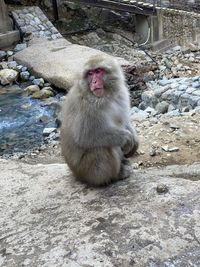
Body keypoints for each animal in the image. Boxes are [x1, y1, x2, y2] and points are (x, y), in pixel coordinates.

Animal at [60, 54, 139, 186]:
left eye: (98, 71)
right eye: (90, 73)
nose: (94, 82)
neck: (107, 96)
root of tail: (76, 174)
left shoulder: (121, 95)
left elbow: (124, 121)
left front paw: (135, 140)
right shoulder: (86, 107)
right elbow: (86, 136)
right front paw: (127, 138)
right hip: (89, 171)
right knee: (103, 147)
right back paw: (115, 176)